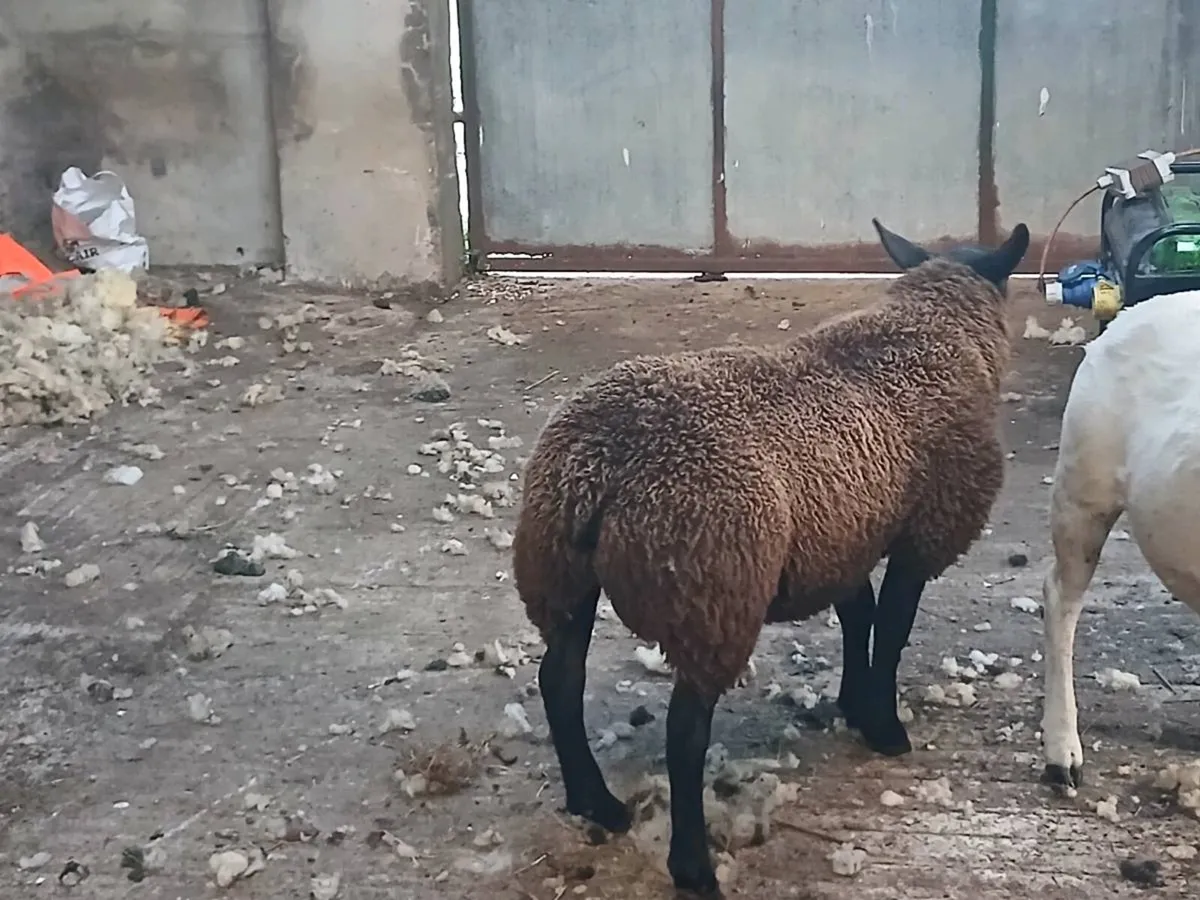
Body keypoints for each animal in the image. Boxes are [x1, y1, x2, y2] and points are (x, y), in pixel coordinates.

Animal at [513, 219, 1030, 895]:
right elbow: (891, 628)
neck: (933, 330)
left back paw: (595, 802)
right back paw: (693, 865)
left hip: (560, 574)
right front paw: (884, 726)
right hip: (712, 592)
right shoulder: (925, 528)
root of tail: (605, 463)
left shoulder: (842, 532)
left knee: (560, 680)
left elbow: (859, 616)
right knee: (685, 732)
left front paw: (852, 702)